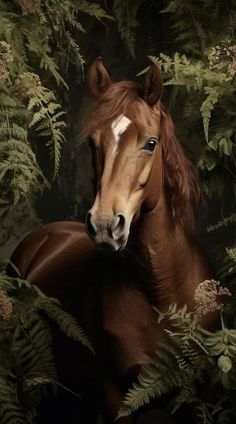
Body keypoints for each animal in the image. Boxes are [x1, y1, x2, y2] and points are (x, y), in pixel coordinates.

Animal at [7, 59, 215, 424]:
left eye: (150, 143)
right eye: (93, 143)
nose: (105, 224)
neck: (162, 293)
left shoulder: (199, 398)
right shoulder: (117, 400)